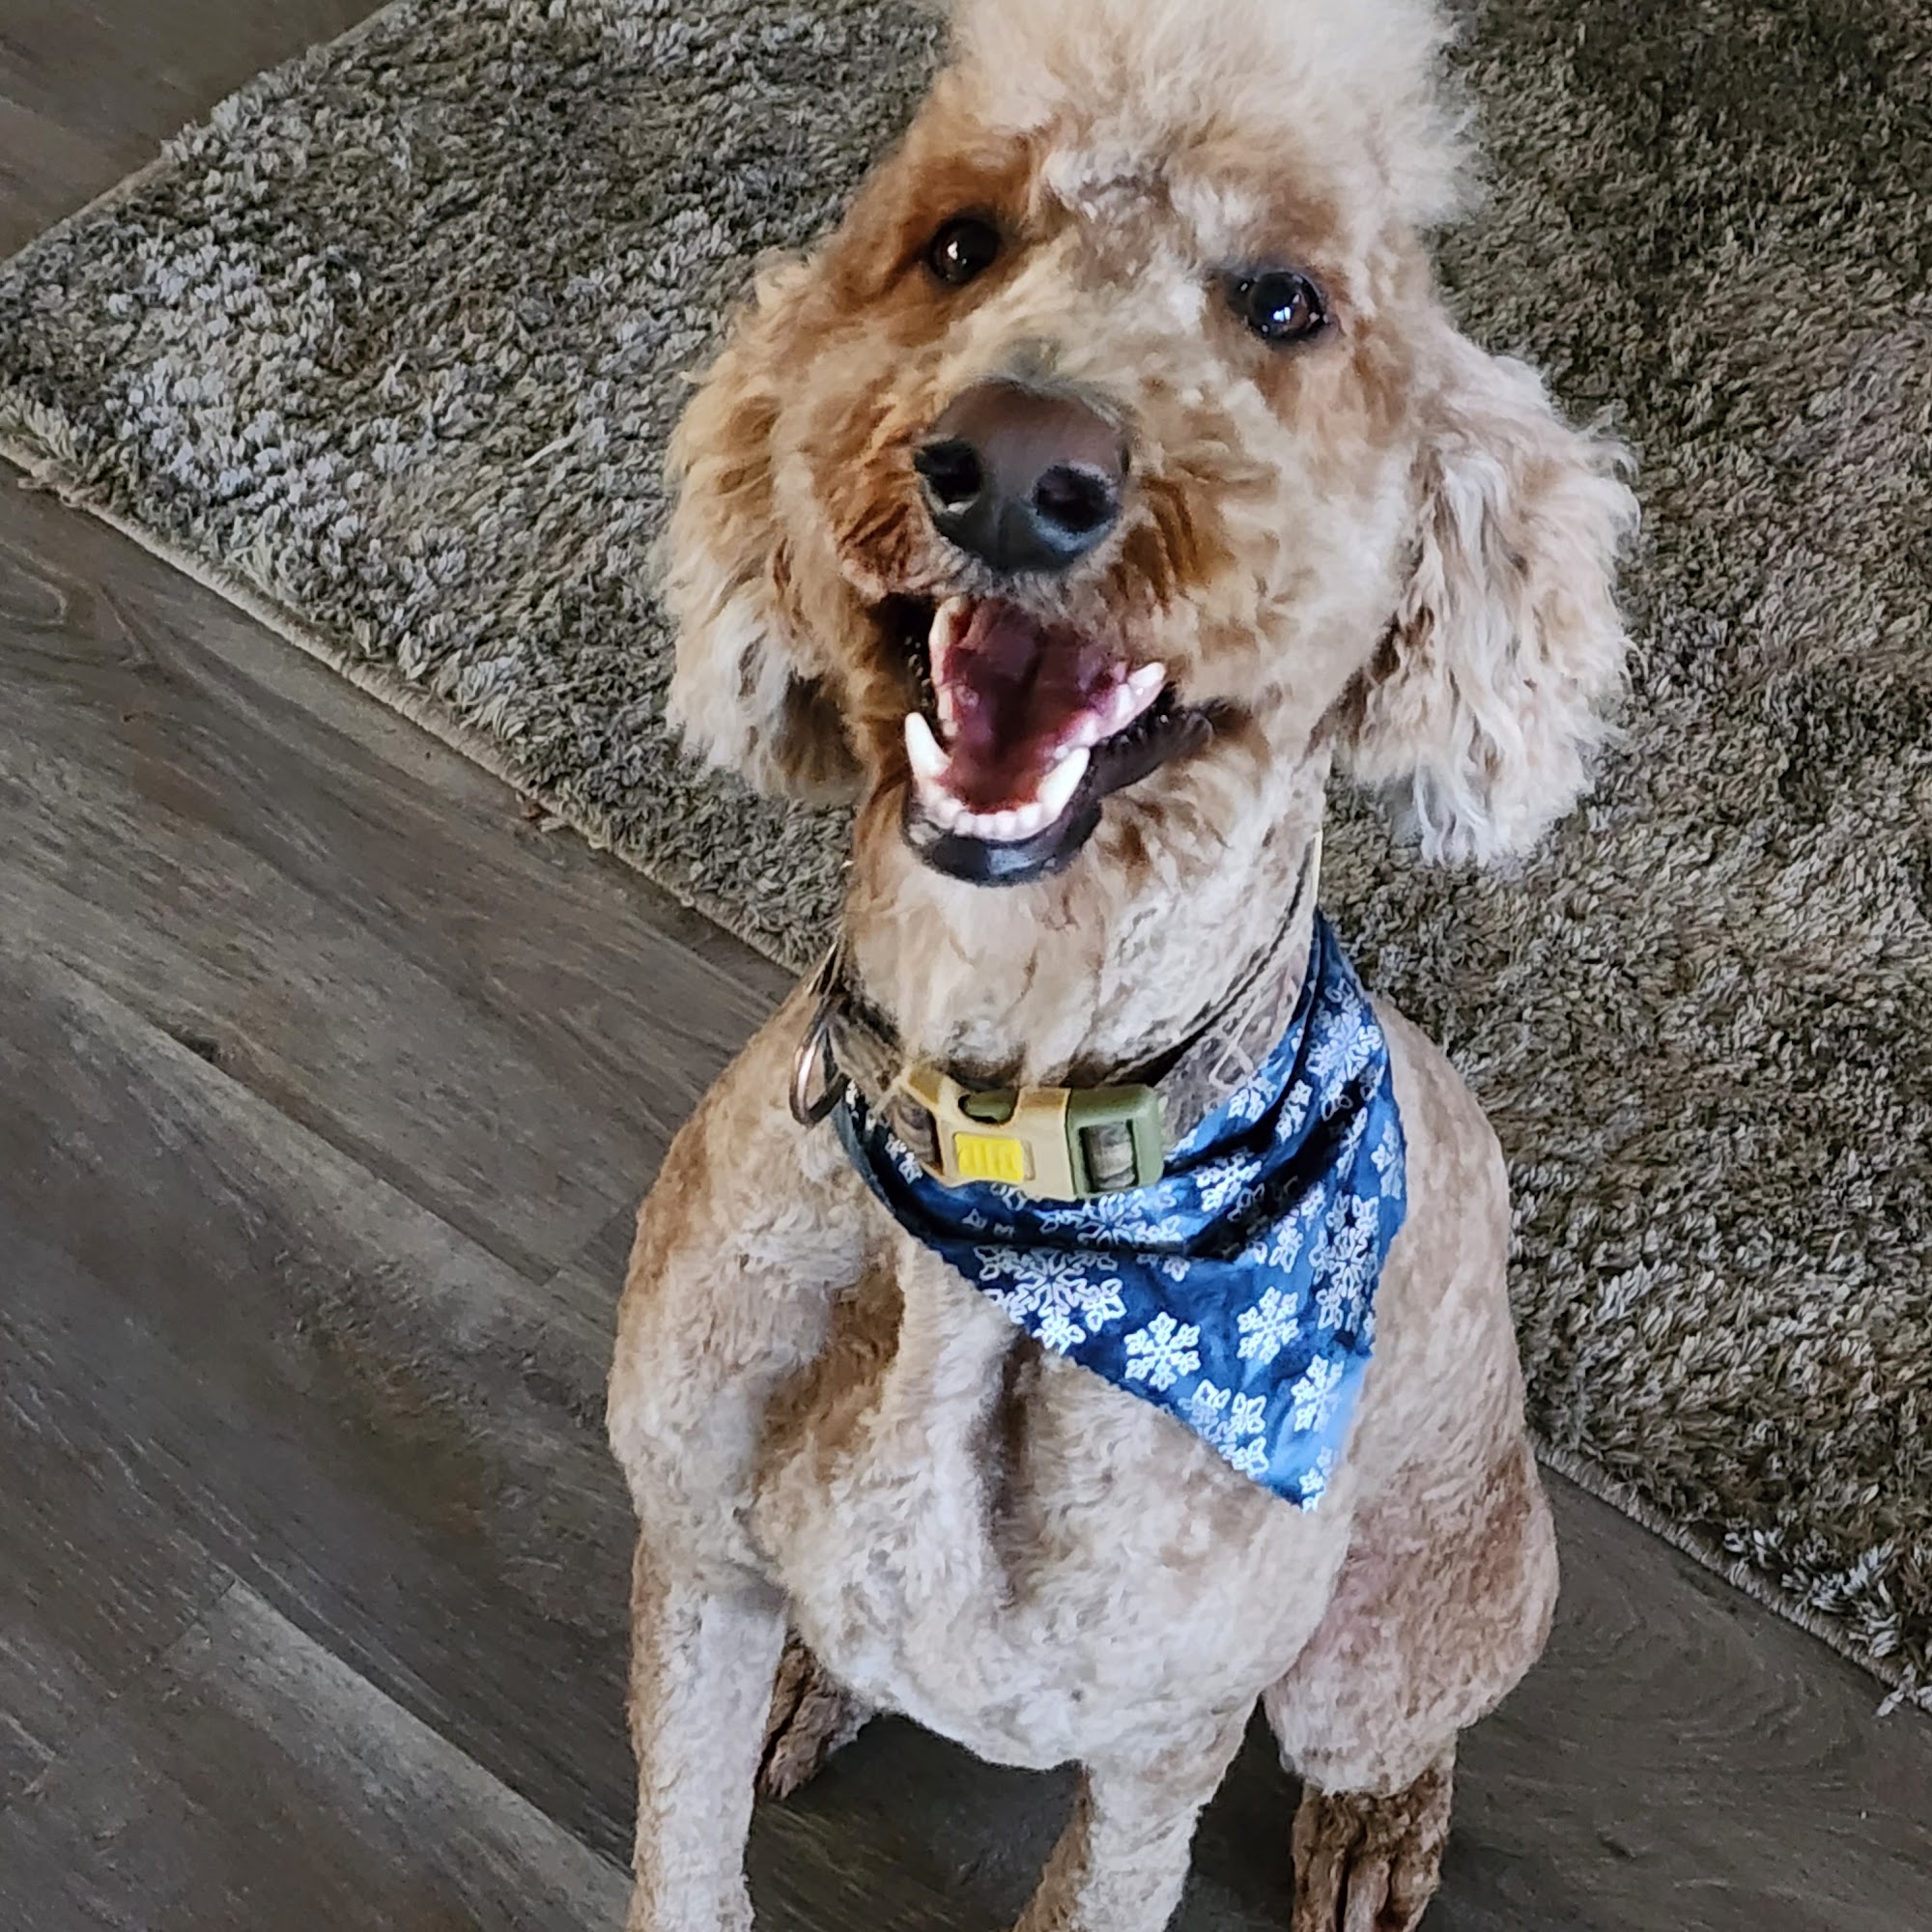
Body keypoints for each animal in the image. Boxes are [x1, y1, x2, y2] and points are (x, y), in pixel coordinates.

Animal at [607, 0, 1635, 1926]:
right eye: (958, 245)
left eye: (1286, 303)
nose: (1015, 466)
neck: (1006, 1160)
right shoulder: (695, 1569)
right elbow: (681, 1868)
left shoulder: (1163, 1753)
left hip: (1384, 1644)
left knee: (1400, 1734)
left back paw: (1377, 1831)